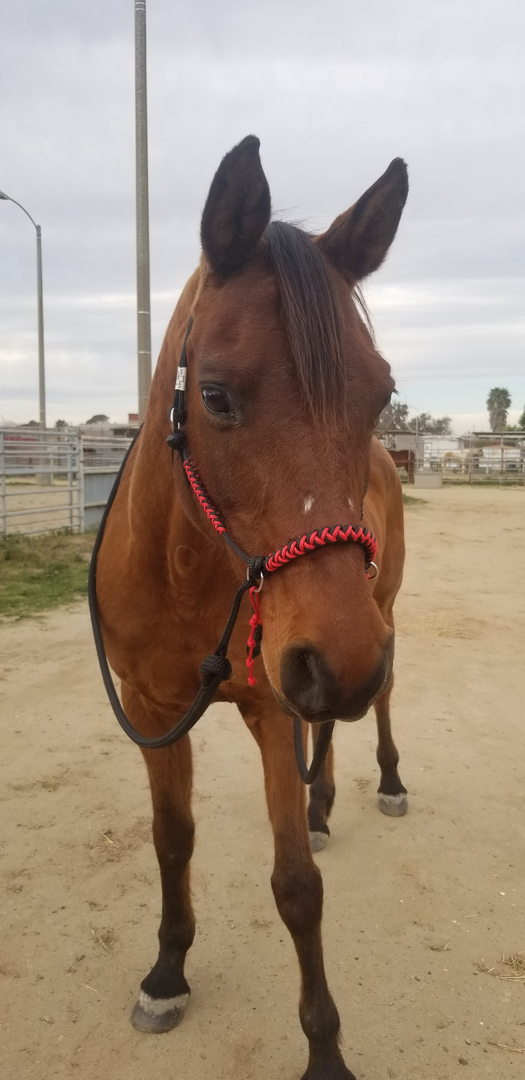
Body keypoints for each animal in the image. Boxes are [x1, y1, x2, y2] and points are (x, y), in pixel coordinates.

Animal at [94, 137, 408, 1080]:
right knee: (333, 721)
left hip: (375, 619)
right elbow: (172, 838)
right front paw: (166, 972)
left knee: (377, 703)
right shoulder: (156, 708)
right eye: (217, 395)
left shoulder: (274, 700)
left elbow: (296, 887)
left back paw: (382, 782)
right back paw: (323, 801)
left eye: (379, 393)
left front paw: (325, 1051)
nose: (338, 659)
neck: (190, 574)